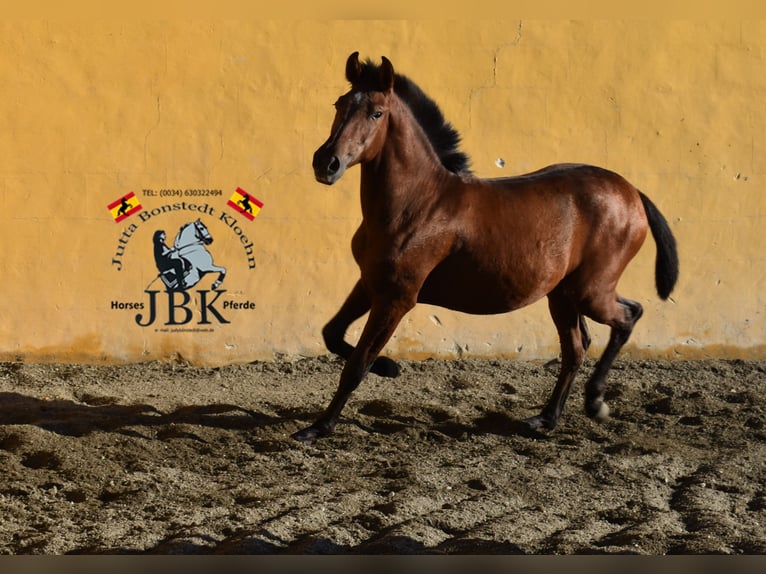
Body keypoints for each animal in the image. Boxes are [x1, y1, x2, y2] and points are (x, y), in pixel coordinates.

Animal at [292, 50, 680, 446]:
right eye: (339, 104)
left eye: (377, 113)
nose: (326, 163)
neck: (417, 203)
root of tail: (632, 193)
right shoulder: (370, 283)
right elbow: (332, 334)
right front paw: (389, 367)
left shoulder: (397, 296)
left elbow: (357, 364)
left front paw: (318, 427)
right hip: (563, 294)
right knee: (577, 346)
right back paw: (545, 418)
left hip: (590, 291)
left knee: (628, 316)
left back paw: (596, 402)